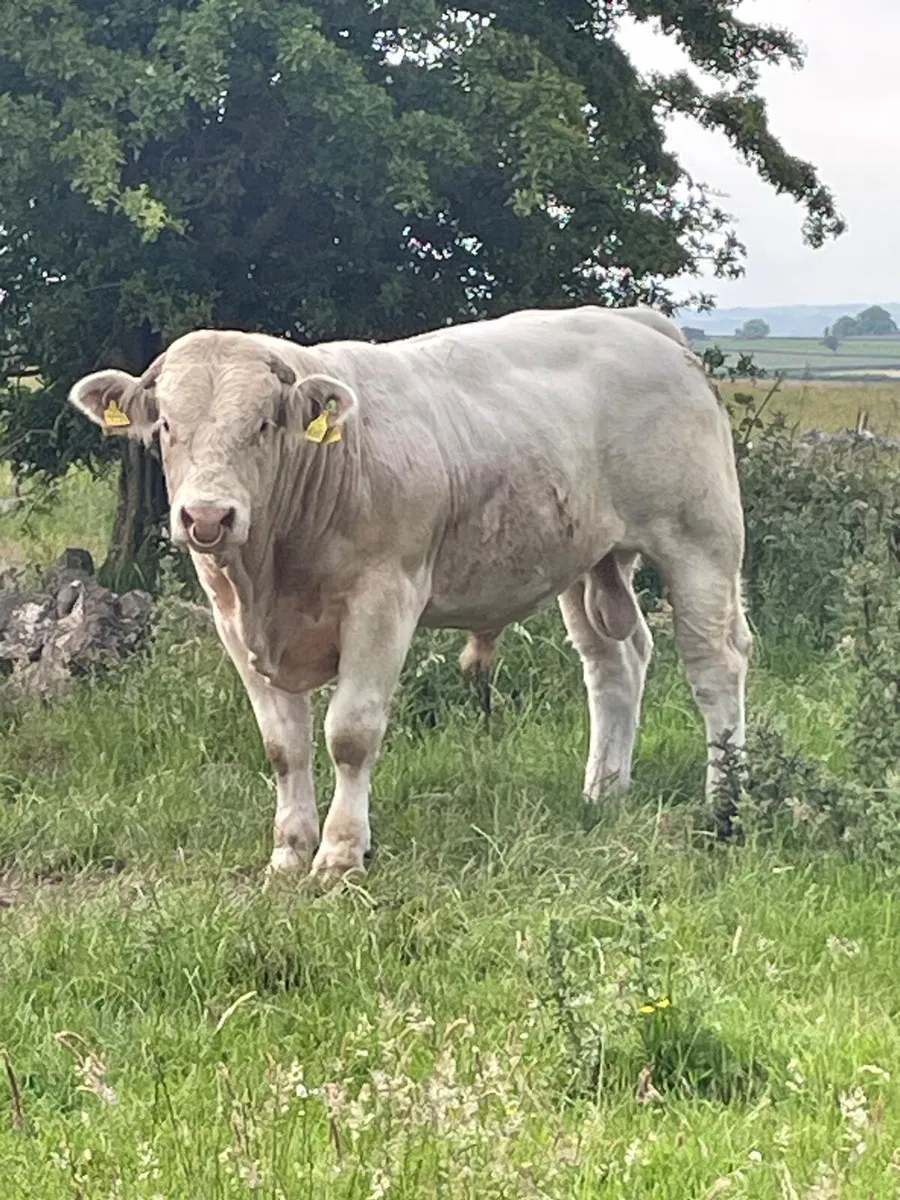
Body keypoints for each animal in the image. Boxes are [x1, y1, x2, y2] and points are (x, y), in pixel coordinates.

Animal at [68, 306, 751, 881]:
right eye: (165, 425)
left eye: (263, 425)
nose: (207, 517)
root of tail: (639, 323)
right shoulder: (233, 619)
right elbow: (283, 746)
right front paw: (288, 854)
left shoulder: (384, 600)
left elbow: (350, 733)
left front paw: (340, 855)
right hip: (589, 562)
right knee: (615, 664)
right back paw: (604, 793)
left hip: (701, 541)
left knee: (715, 666)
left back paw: (725, 806)